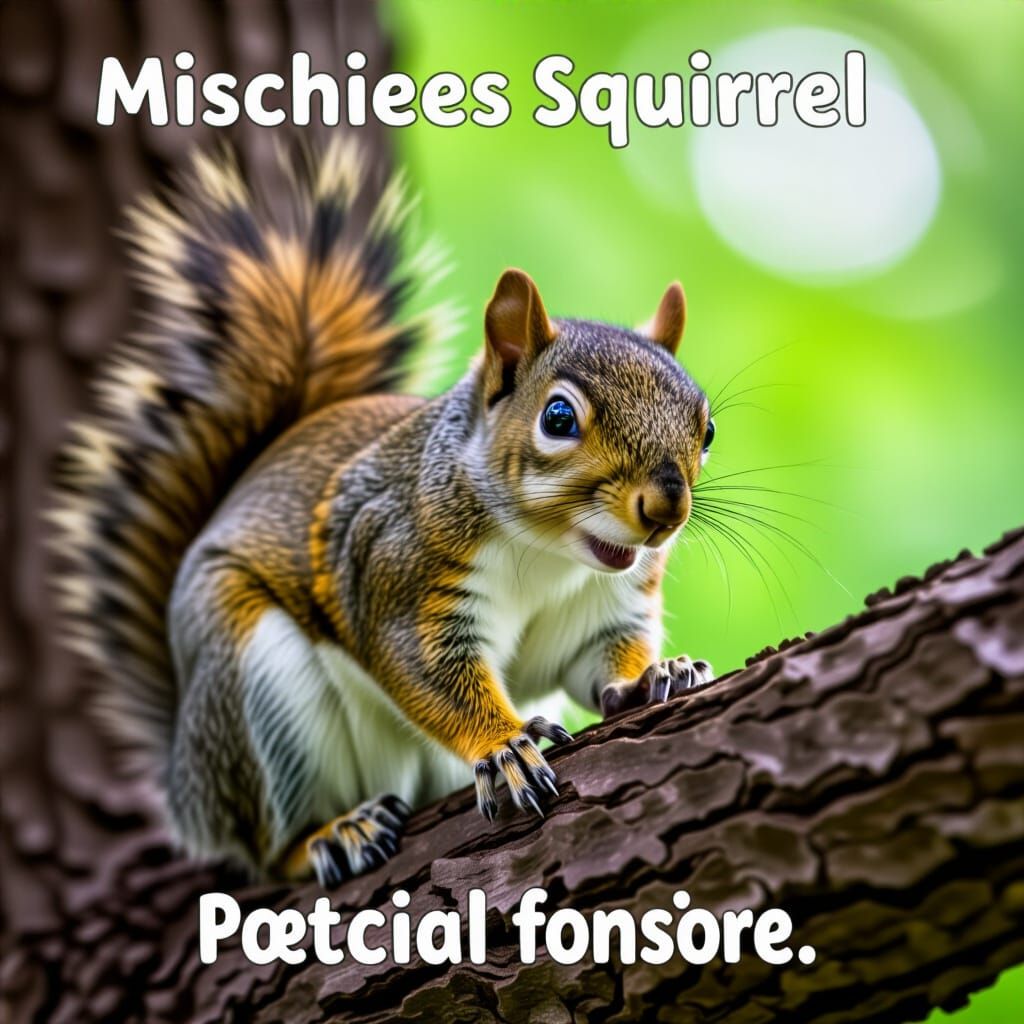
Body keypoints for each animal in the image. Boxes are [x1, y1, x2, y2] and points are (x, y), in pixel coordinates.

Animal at [52, 141, 716, 888]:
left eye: (707, 429)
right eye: (558, 418)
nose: (665, 509)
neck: (548, 555)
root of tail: (186, 786)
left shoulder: (603, 606)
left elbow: (595, 661)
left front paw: (651, 679)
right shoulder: (396, 568)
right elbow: (429, 674)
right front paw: (504, 746)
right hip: (247, 675)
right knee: (265, 849)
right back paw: (332, 834)